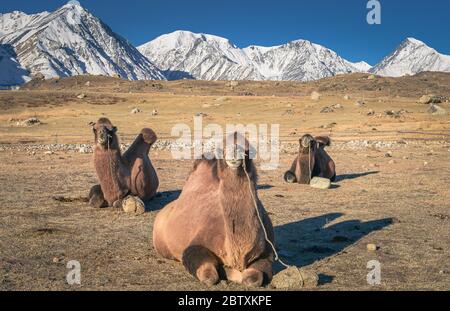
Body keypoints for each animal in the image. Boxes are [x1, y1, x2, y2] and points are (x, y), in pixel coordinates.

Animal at [153, 133, 276, 288]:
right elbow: (209, 276)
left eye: (247, 148)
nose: (234, 154)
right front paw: (227, 271)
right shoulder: (195, 245)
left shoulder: (267, 252)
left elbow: (254, 279)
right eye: (223, 148)